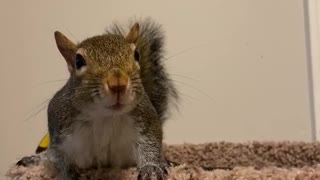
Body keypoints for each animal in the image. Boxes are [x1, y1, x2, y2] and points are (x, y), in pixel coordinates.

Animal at [16, 18, 178, 180]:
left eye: (136, 55)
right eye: (78, 61)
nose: (118, 84)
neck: (104, 115)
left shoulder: (146, 120)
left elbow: (151, 145)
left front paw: (152, 168)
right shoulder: (59, 126)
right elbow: (57, 156)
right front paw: (69, 172)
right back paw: (35, 159)